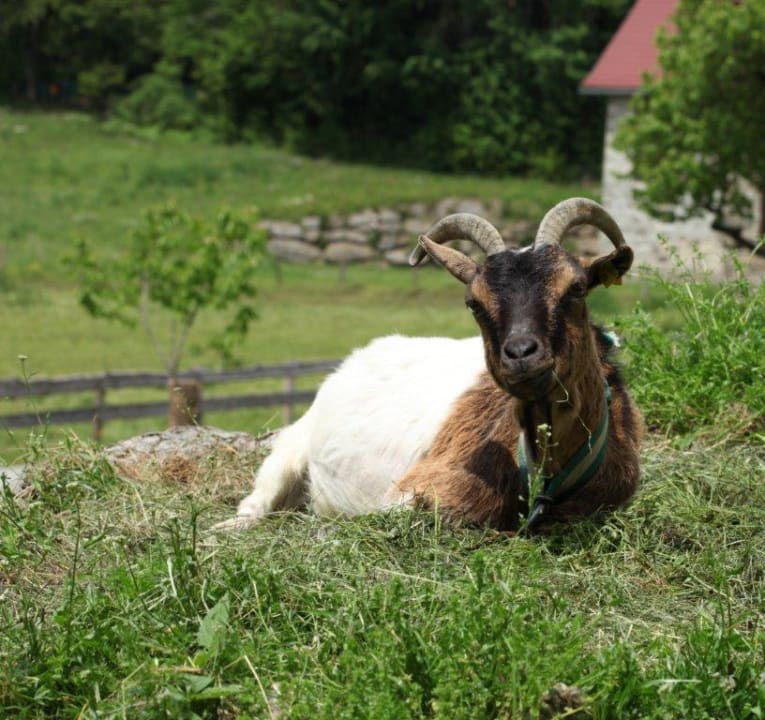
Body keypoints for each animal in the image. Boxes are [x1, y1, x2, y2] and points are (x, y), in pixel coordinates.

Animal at [217, 198, 642, 533]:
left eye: (576, 288)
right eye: (474, 303)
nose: (521, 353)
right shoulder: (416, 489)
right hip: (289, 451)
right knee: (254, 506)